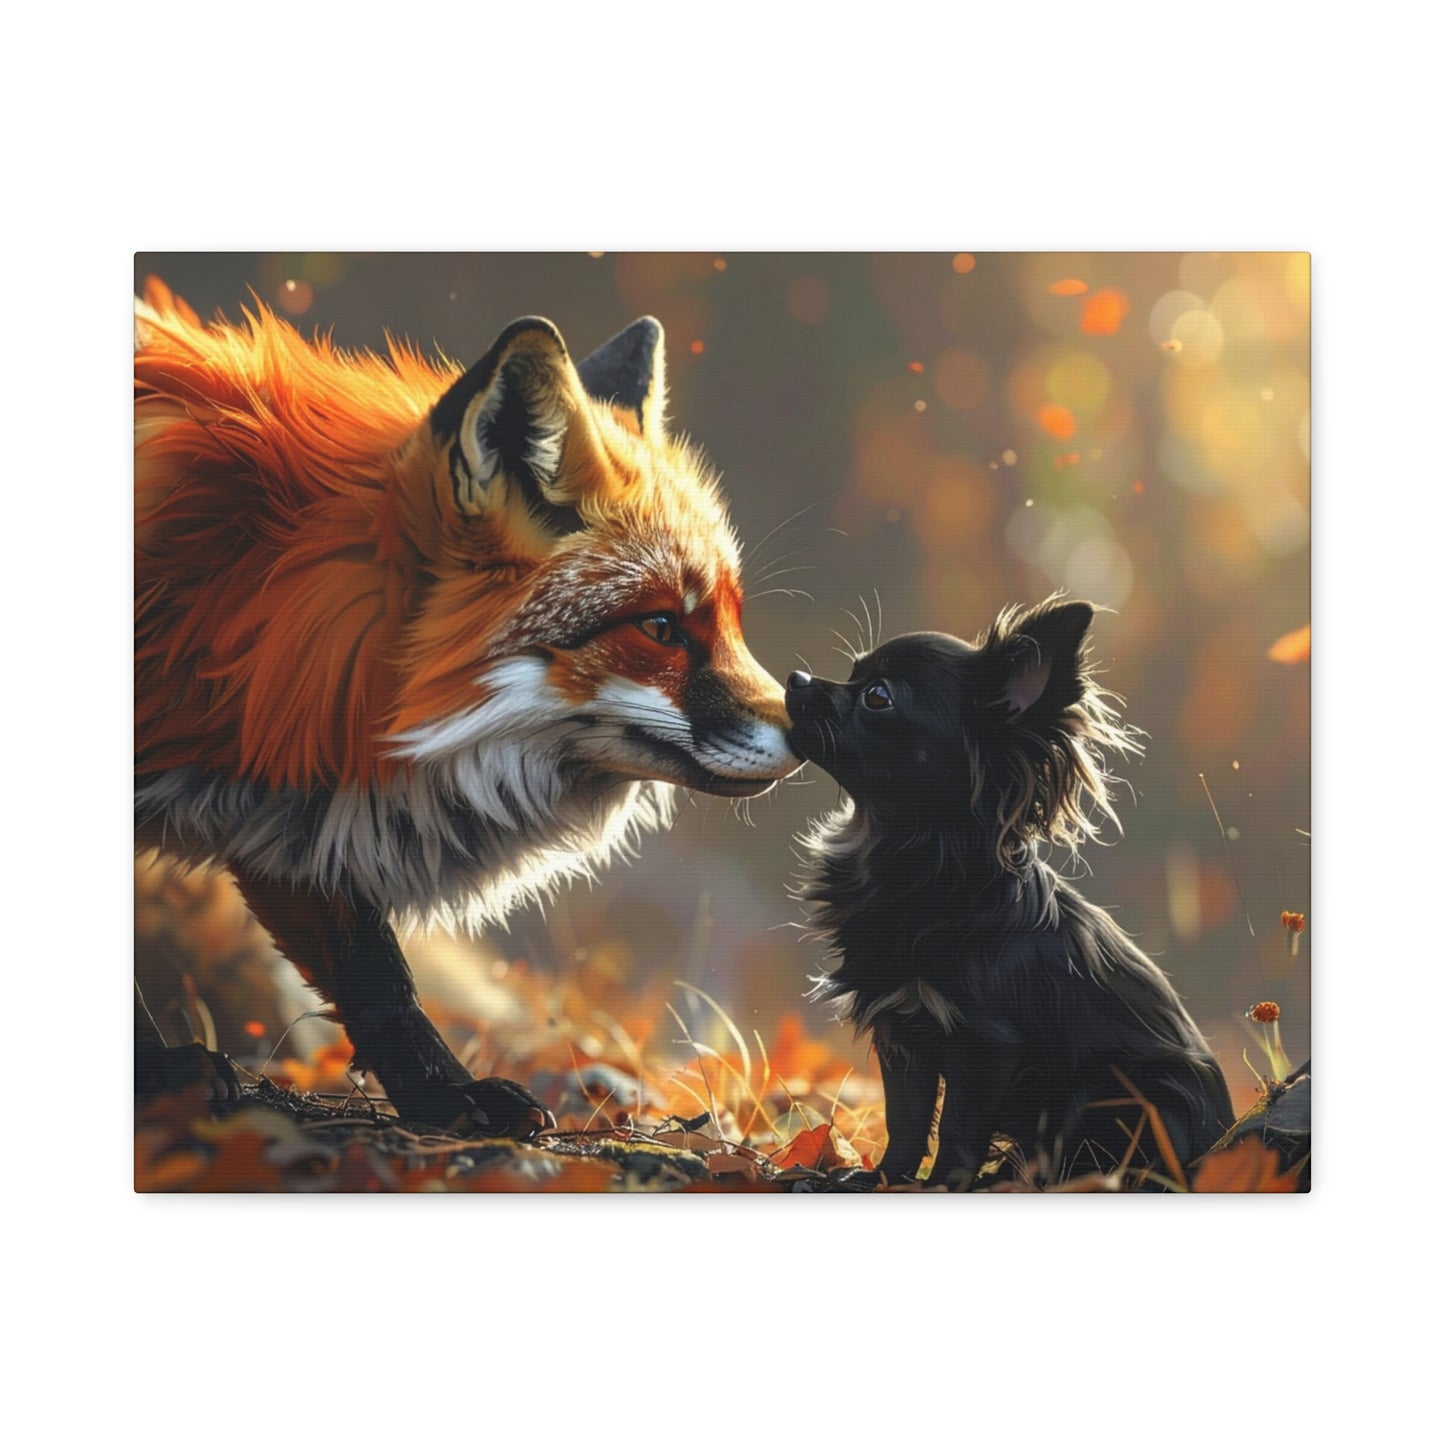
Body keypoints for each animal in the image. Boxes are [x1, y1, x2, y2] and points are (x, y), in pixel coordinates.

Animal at [134, 280, 798, 1136]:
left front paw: (444, 1098)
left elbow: (379, 978)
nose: (812, 723)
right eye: (659, 628)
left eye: (729, 620)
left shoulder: (290, 804)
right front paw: (157, 1070)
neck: (244, 604)